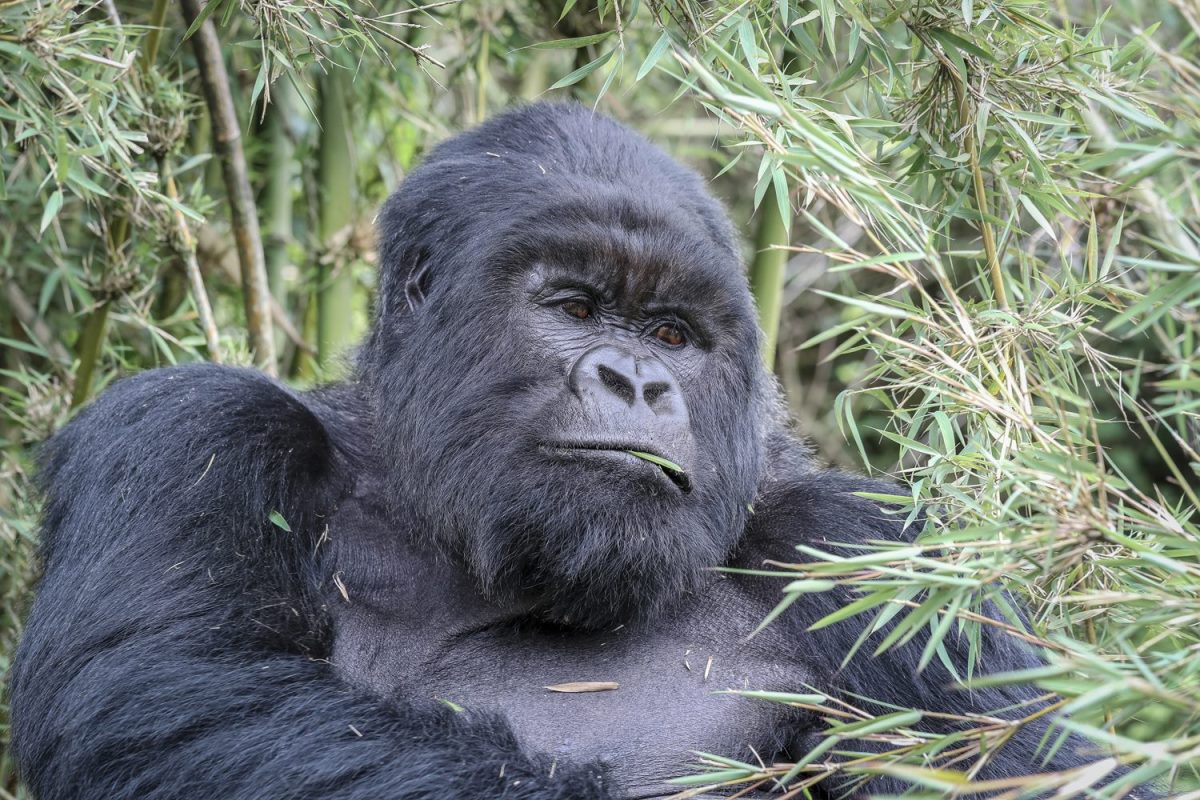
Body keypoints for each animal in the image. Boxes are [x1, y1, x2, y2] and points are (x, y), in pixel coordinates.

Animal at [7, 103, 1123, 796]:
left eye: (672, 332)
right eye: (576, 307)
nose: (637, 382)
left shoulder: (865, 544)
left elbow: (1040, 766)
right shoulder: (192, 429)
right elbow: (171, 699)